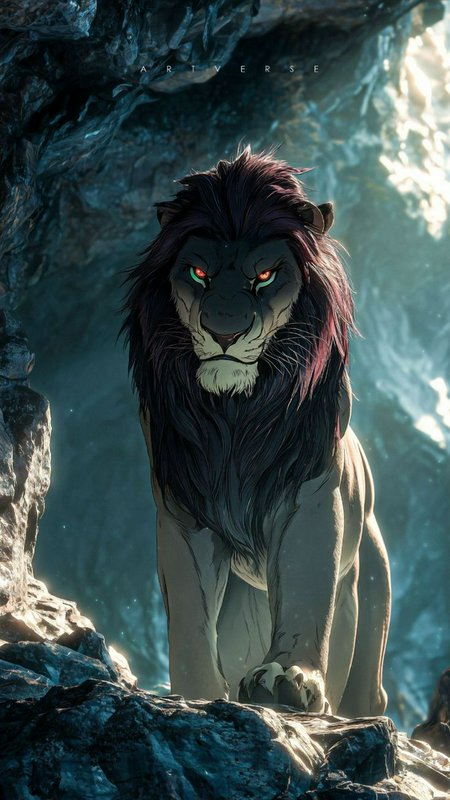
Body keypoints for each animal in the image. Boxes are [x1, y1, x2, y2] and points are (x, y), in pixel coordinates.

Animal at [122, 146, 391, 716]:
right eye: (198, 271)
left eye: (265, 275)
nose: (224, 332)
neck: (236, 417)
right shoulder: (184, 509)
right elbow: (190, 614)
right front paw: (196, 693)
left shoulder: (313, 492)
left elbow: (308, 585)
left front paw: (289, 678)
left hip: (369, 587)